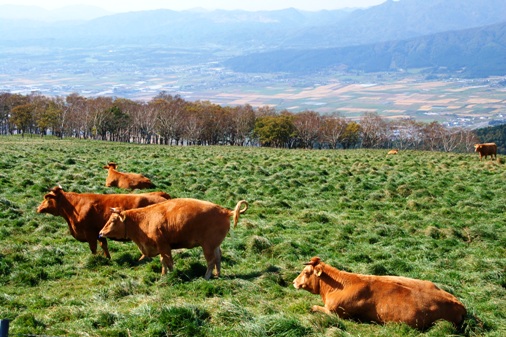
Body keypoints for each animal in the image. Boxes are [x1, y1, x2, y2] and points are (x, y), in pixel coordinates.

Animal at [36, 185, 170, 258]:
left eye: (46, 198)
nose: (38, 208)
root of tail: (160, 193)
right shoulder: (99, 233)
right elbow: (103, 246)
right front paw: (107, 258)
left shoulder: (90, 234)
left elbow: (93, 249)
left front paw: (95, 259)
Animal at [98, 197, 248, 278]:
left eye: (113, 220)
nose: (100, 233)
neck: (144, 219)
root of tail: (225, 211)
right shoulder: (160, 247)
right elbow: (163, 261)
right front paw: (163, 275)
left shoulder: (164, 247)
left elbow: (168, 262)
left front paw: (172, 275)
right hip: (215, 246)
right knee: (218, 258)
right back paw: (217, 275)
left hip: (208, 247)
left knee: (211, 261)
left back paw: (206, 277)